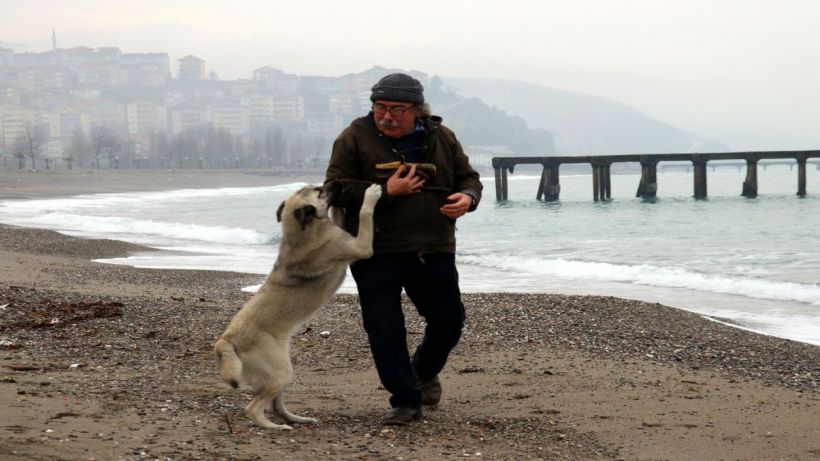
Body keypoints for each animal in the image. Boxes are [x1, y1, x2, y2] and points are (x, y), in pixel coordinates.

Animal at [210, 181, 380, 430]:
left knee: (275, 406)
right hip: (281, 373)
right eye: (320, 191)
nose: (335, 183)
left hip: (281, 372)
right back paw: (275, 427)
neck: (300, 231)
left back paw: (298, 419)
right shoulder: (361, 246)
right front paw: (372, 195)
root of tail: (227, 340)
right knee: (253, 409)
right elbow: (365, 213)